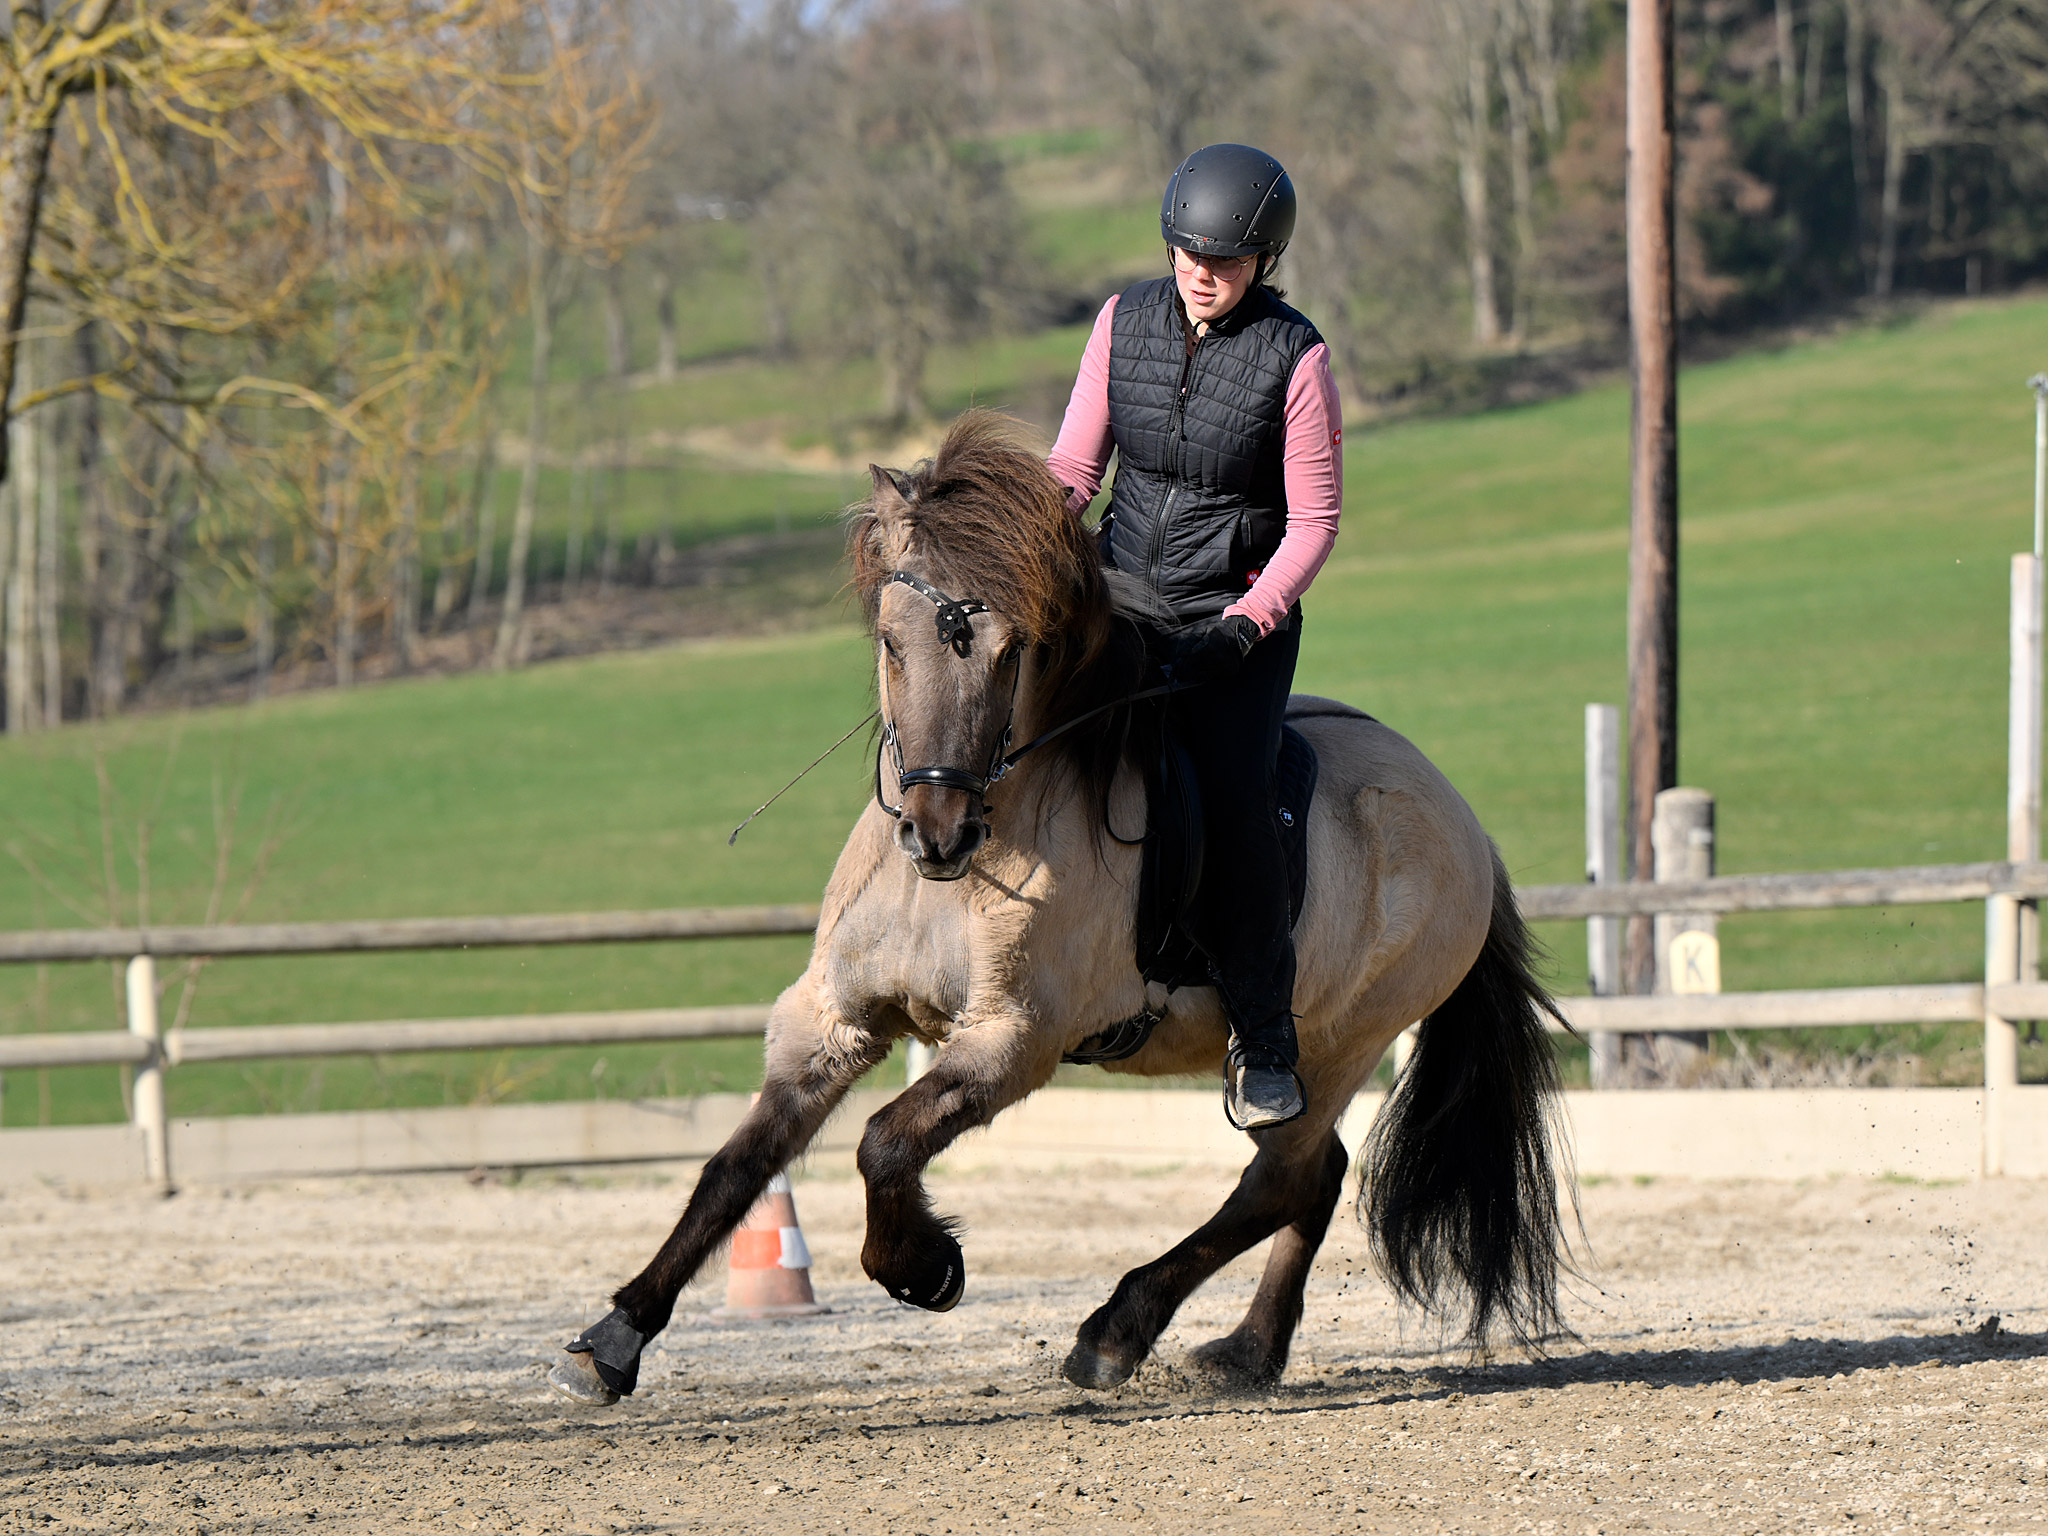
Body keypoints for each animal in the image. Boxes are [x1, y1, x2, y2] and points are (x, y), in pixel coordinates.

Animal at [548, 410, 1572, 1406]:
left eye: (1013, 653)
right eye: (891, 642)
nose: (937, 832)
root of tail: (1464, 822)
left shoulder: (1014, 1038)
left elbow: (885, 1143)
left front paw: (926, 1267)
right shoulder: (831, 1019)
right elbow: (737, 1165)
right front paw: (616, 1335)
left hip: (1337, 1043)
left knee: (1281, 1180)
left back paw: (1119, 1333)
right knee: (1311, 1182)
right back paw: (1244, 1353)